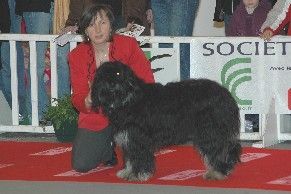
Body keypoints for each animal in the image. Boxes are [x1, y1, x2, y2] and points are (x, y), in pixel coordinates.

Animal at [91, 61, 242, 181]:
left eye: (118, 73)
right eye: (103, 75)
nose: (111, 84)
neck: (128, 99)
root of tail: (226, 94)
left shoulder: (137, 138)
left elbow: (139, 157)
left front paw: (137, 175)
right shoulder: (128, 138)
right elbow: (130, 158)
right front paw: (127, 172)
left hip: (210, 132)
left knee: (218, 151)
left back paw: (217, 172)